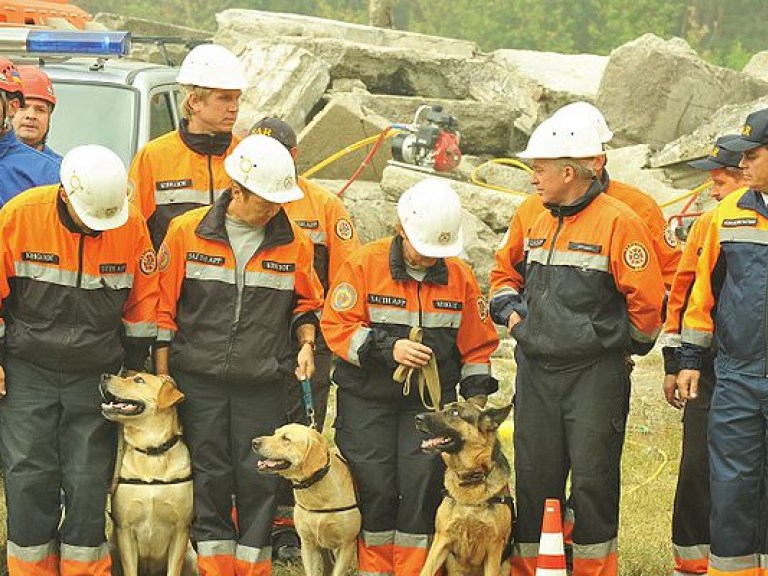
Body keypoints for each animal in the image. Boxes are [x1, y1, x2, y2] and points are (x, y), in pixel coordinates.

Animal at [102, 372, 194, 576]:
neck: (152, 452)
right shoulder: (125, 529)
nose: (104, 375)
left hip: (191, 557)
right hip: (112, 550)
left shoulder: (181, 529)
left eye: (139, 380)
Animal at [414, 400, 516, 576]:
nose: (417, 418)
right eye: (443, 408)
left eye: (455, 412)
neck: (470, 478)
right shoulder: (441, 540)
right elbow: (426, 570)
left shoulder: (493, 548)